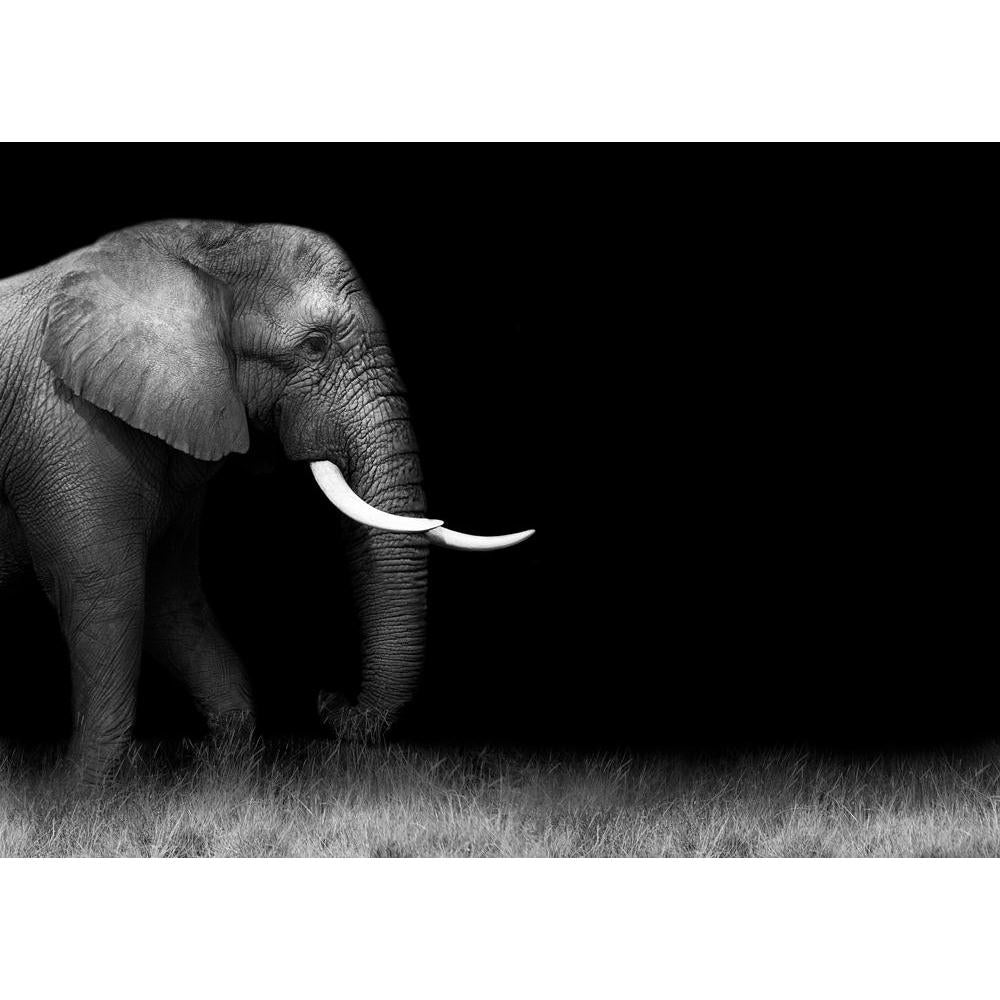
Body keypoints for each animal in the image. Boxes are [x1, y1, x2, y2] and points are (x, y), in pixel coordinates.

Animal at [0, 220, 532, 780]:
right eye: (317, 345)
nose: (328, 695)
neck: (195, 246)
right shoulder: (67, 426)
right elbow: (105, 590)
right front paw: (80, 789)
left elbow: (171, 595)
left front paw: (226, 773)